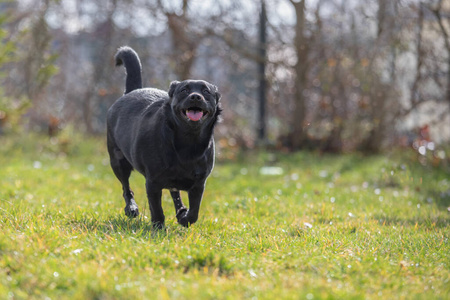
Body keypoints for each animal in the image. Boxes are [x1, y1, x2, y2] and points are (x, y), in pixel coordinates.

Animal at [107, 45, 223, 229]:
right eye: (184, 90)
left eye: (206, 91)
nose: (195, 96)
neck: (188, 141)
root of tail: (131, 92)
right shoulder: (153, 182)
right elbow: (156, 208)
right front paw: (159, 227)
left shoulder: (199, 184)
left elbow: (194, 212)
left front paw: (184, 218)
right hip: (118, 161)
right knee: (126, 188)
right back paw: (131, 208)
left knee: (175, 192)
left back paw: (181, 210)